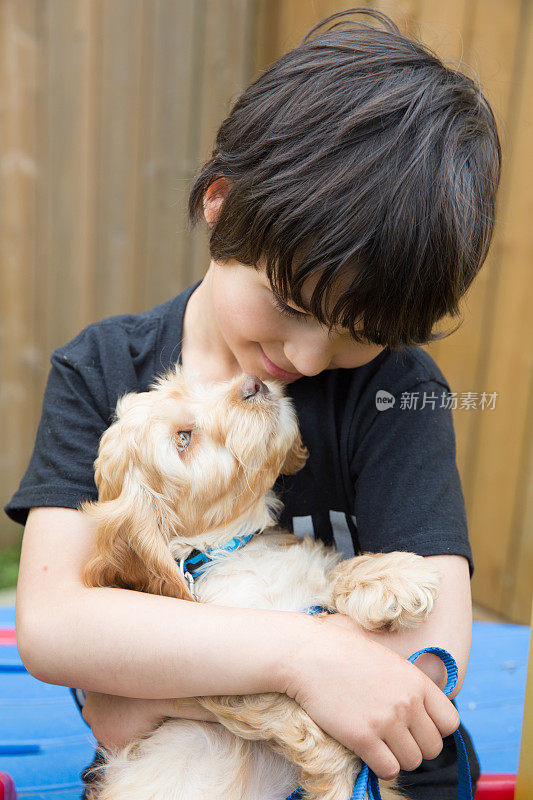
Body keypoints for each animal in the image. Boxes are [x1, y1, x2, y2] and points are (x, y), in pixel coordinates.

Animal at [80, 368, 436, 800]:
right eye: (182, 439)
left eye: (204, 384)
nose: (253, 384)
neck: (233, 549)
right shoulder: (227, 666)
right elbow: (299, 718)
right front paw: (343, 779)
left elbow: (332, 571)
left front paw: (395, 577)